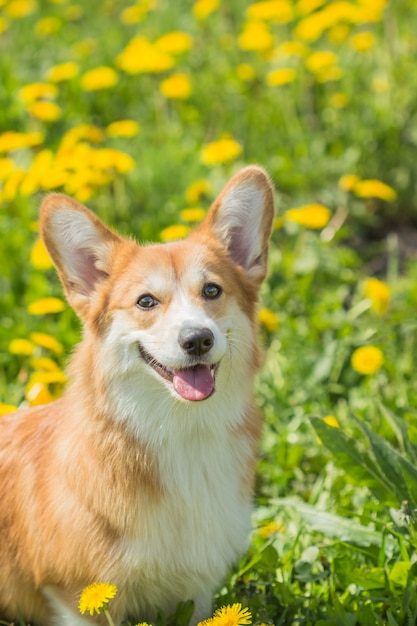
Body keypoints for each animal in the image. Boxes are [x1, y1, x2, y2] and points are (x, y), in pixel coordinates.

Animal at [0, 166, 274, 624]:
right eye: (146, 301)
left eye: (212, 291)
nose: (197, 339)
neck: (182, 433)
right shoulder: (78, 597)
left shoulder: (198, 591)